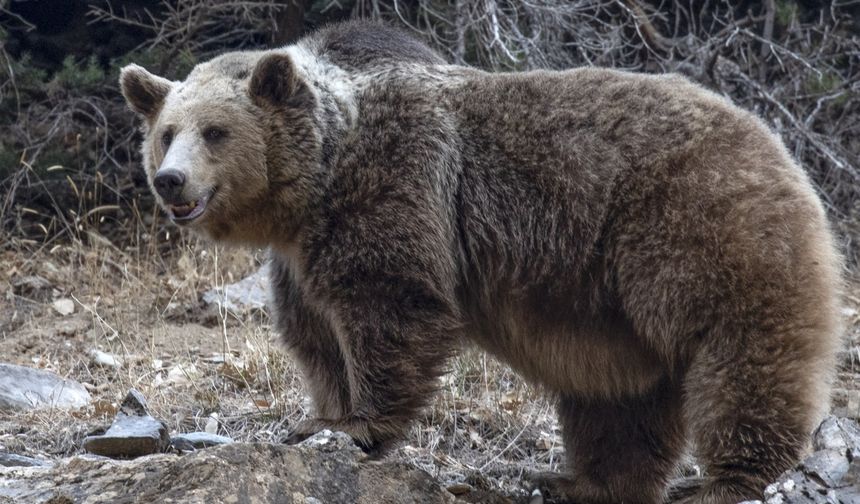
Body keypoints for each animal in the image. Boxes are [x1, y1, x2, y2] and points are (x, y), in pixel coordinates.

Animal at [119, 19, 840, 504]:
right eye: (166, 132)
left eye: (216, 131)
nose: (171, 181)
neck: (316, 185)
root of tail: (775, 140)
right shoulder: (300, 258)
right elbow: (315, 336)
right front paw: (316, 420)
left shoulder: (395, 195)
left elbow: (391, 307)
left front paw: (360, 424)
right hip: (614, 307)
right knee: (621, 401)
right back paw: (581, 479)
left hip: (691, 226)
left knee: (738, 347)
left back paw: (730, 478)